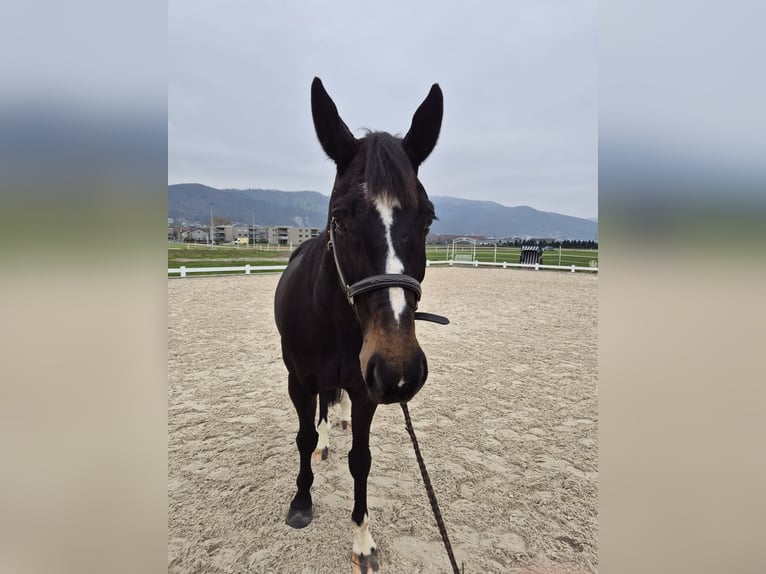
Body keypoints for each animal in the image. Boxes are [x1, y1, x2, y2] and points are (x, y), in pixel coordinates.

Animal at [274, 77, 444, 574]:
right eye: (340, 217)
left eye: (427, 218)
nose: (398, 368)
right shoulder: (298, 380)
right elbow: (304, 434)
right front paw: (301, 502)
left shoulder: (367, 390)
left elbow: (362, 460)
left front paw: (363, 540)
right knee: (320, 413)